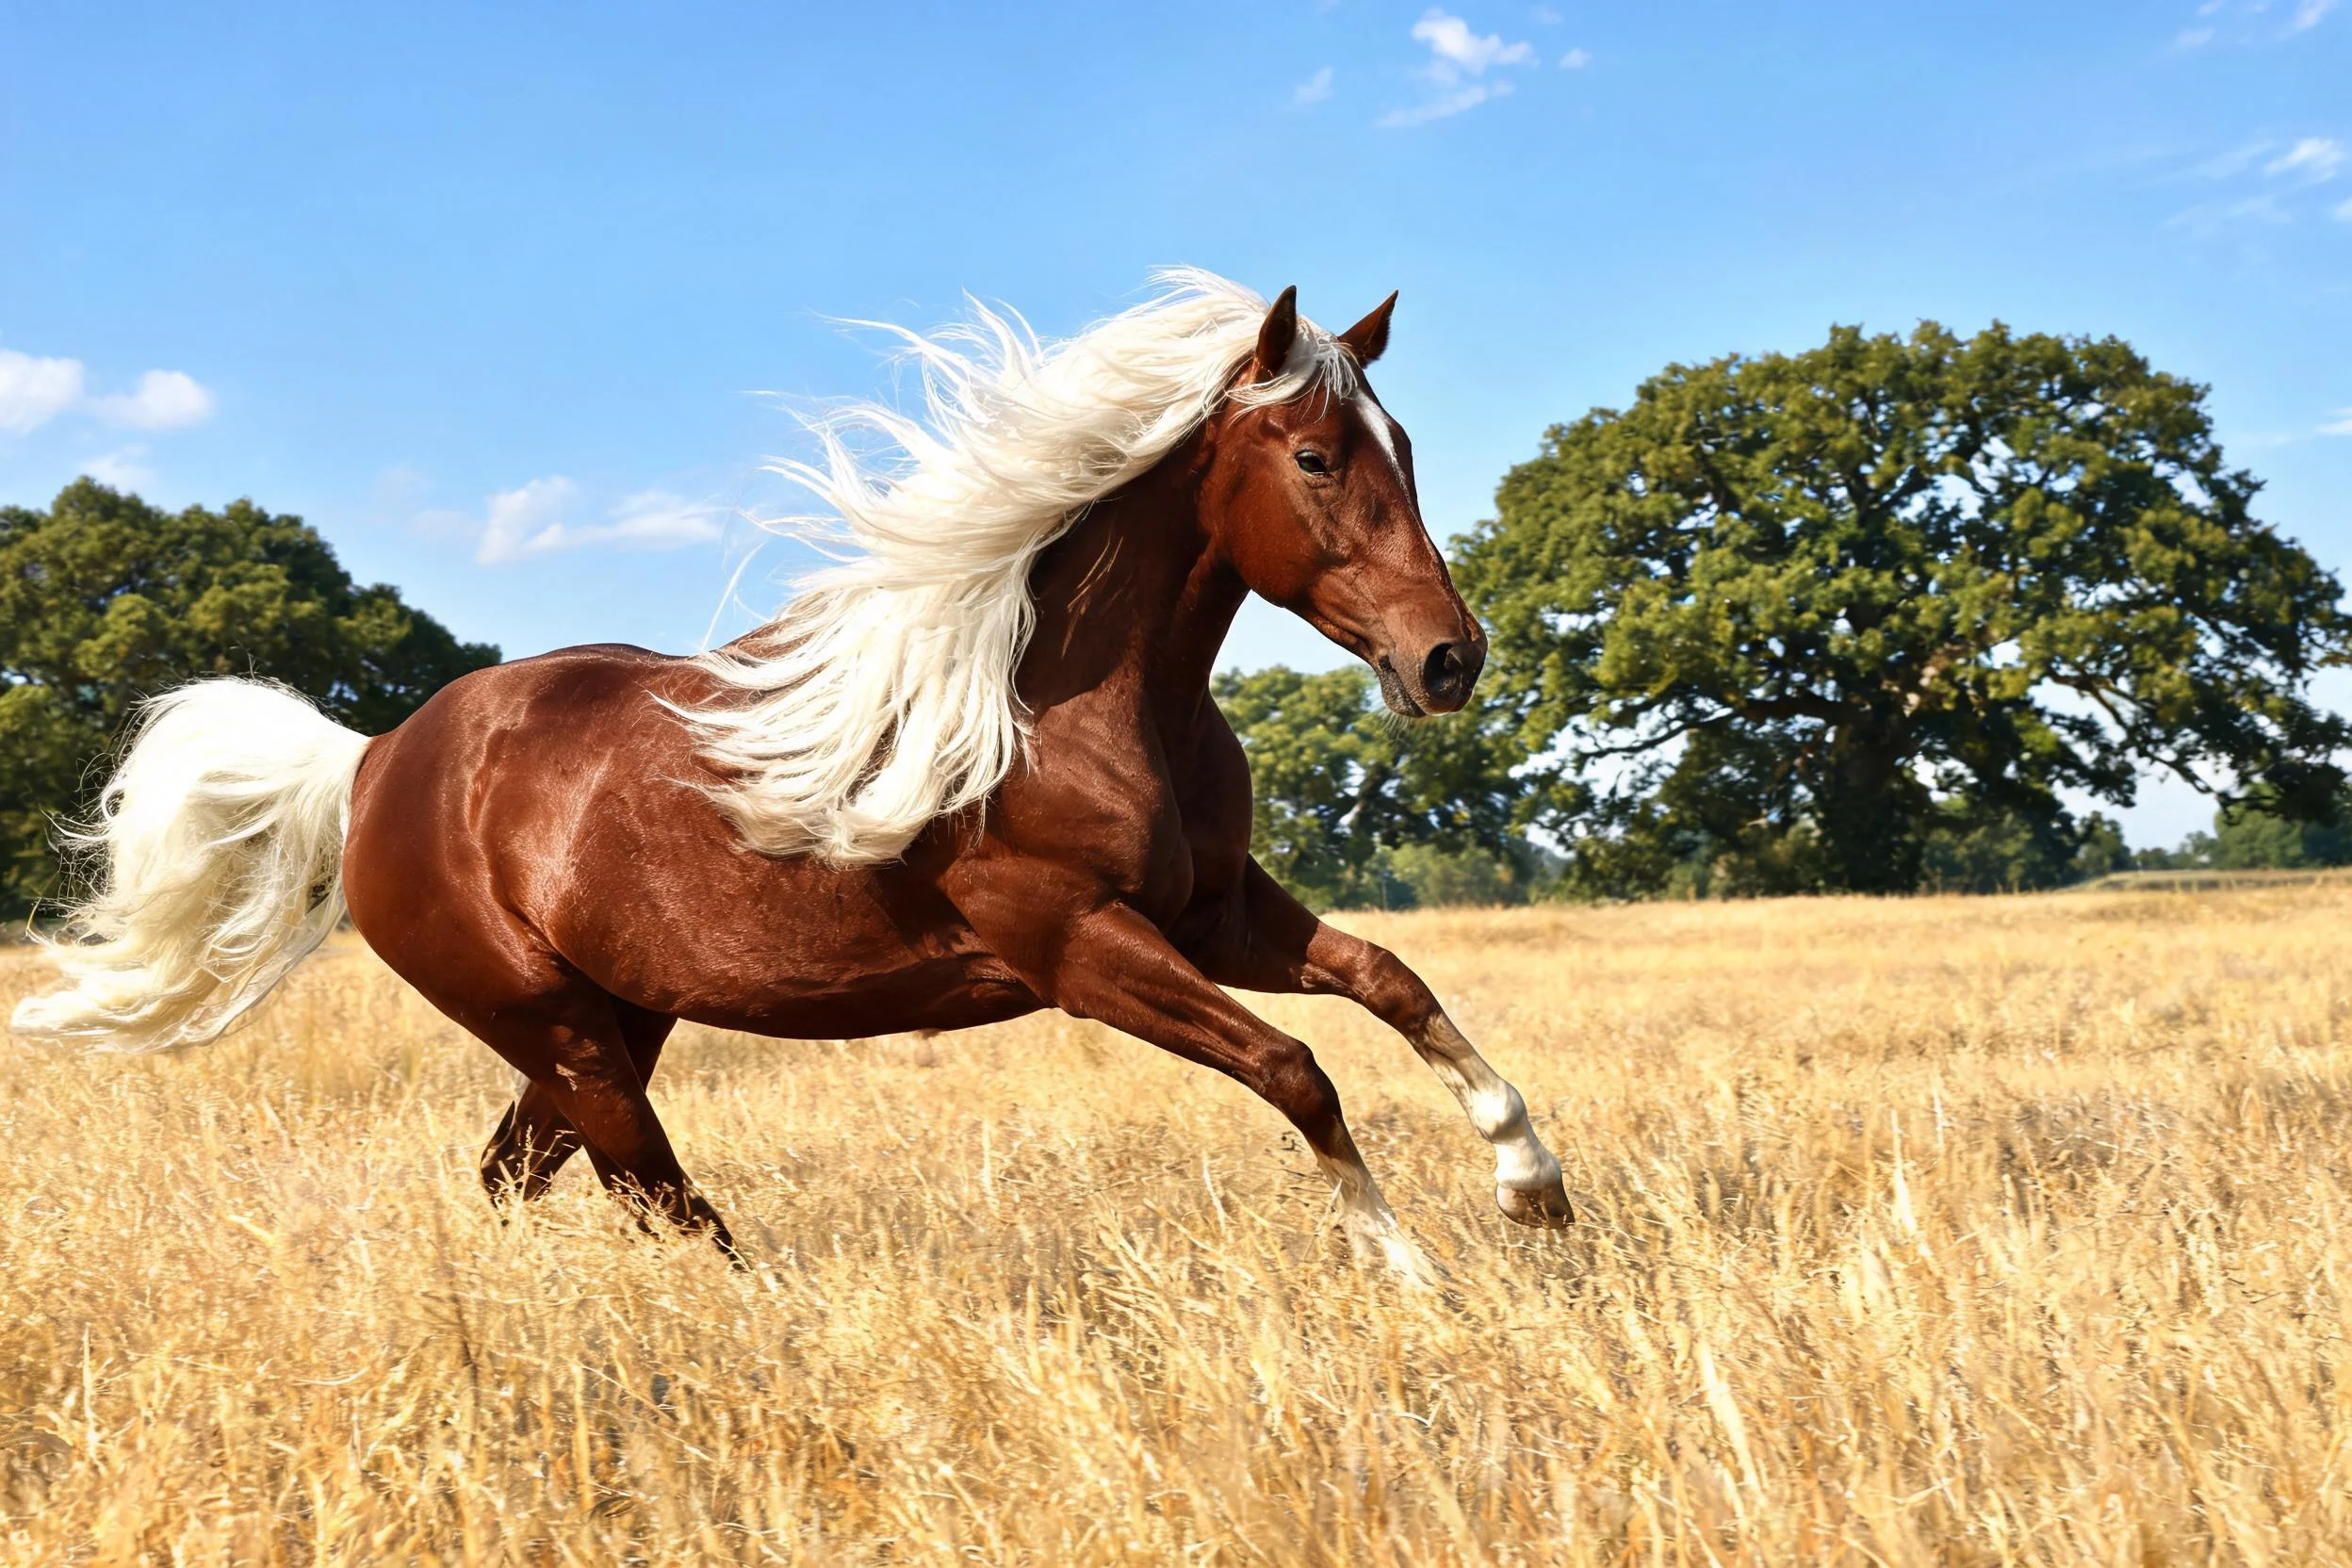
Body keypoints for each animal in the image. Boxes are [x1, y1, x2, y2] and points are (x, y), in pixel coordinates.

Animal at [12, 270, 1573, 1280]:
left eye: (1401, 446)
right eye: (1315, 455)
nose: (1450, 660)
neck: (1061, 703)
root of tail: (373, 759)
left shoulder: (1219, 909)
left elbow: (1392, 985)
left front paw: (1534, 1189)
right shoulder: (1082, 946)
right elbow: (1297, 1070)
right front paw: (1409, 1273)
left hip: (611, 1022)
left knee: (523, 1174)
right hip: (560, 1030)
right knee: (658, 1197)